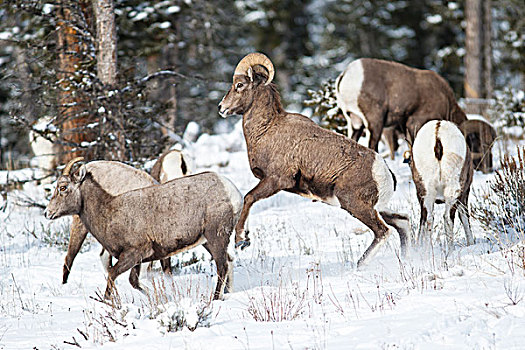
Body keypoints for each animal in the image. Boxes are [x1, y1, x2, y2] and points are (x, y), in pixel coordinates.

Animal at [45, 158, 242, 298]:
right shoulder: (138, 260)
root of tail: (231, 191)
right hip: (209, 240)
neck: (109, 210)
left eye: (63, 187)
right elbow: (134, 282)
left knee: (222, 267)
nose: (48, 213)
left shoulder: (133, 253)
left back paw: (215, 298)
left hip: (216, 237)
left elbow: (113, 274)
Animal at [217, 52, 410, 266]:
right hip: (378, 208)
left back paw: (359, 265)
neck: (267, 130)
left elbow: (248, 198)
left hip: (355, 205)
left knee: (383, 232)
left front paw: (241, 240)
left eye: (240, 85)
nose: (221, 108)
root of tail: (385, 172)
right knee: (403, 222)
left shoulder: (276, 180)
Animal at [404, 120, 472, 249]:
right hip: (452, 190)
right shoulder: (464, 195)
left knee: (431, 218)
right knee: (445, 218)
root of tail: (438, 134)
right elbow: (465, 218)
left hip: (429, 191)